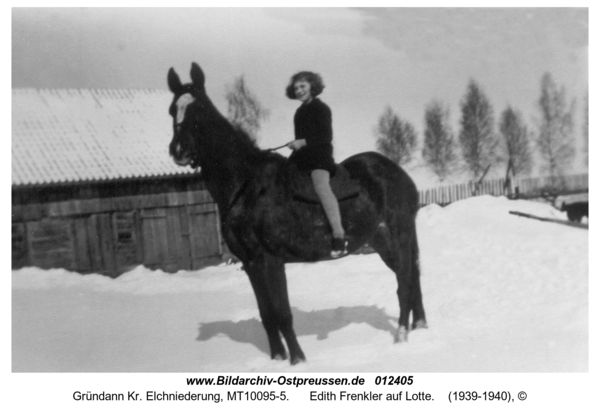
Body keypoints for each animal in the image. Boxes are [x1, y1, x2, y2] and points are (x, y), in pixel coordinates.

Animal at [166, 62, 424, 366]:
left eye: (199, 110)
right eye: (172, 110)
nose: (178, 151)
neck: (246, 185)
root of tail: (396, 171)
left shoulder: (271, 260)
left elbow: (282, 313)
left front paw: (298, 360)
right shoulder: (251, 264)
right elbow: (267, 315)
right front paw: (278, 358)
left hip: (399, 233)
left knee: (405, 279)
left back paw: (402, 334)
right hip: (381, 239)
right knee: (410, 277)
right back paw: (419, 326)